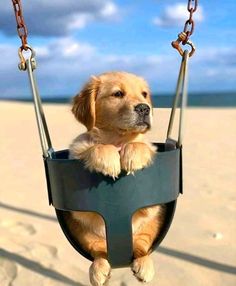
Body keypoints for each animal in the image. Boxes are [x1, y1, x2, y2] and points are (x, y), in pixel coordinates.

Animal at [67, 72, 165, 286]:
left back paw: (144, 264)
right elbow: (95, 147)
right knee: (98, 251)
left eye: (144, 94)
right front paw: (108, 158)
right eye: (118, 94)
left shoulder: (151, 208)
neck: (118, 140)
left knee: (141, 245)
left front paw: (133, 155)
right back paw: (99, 269)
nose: (144, 108)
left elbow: (140, 145)